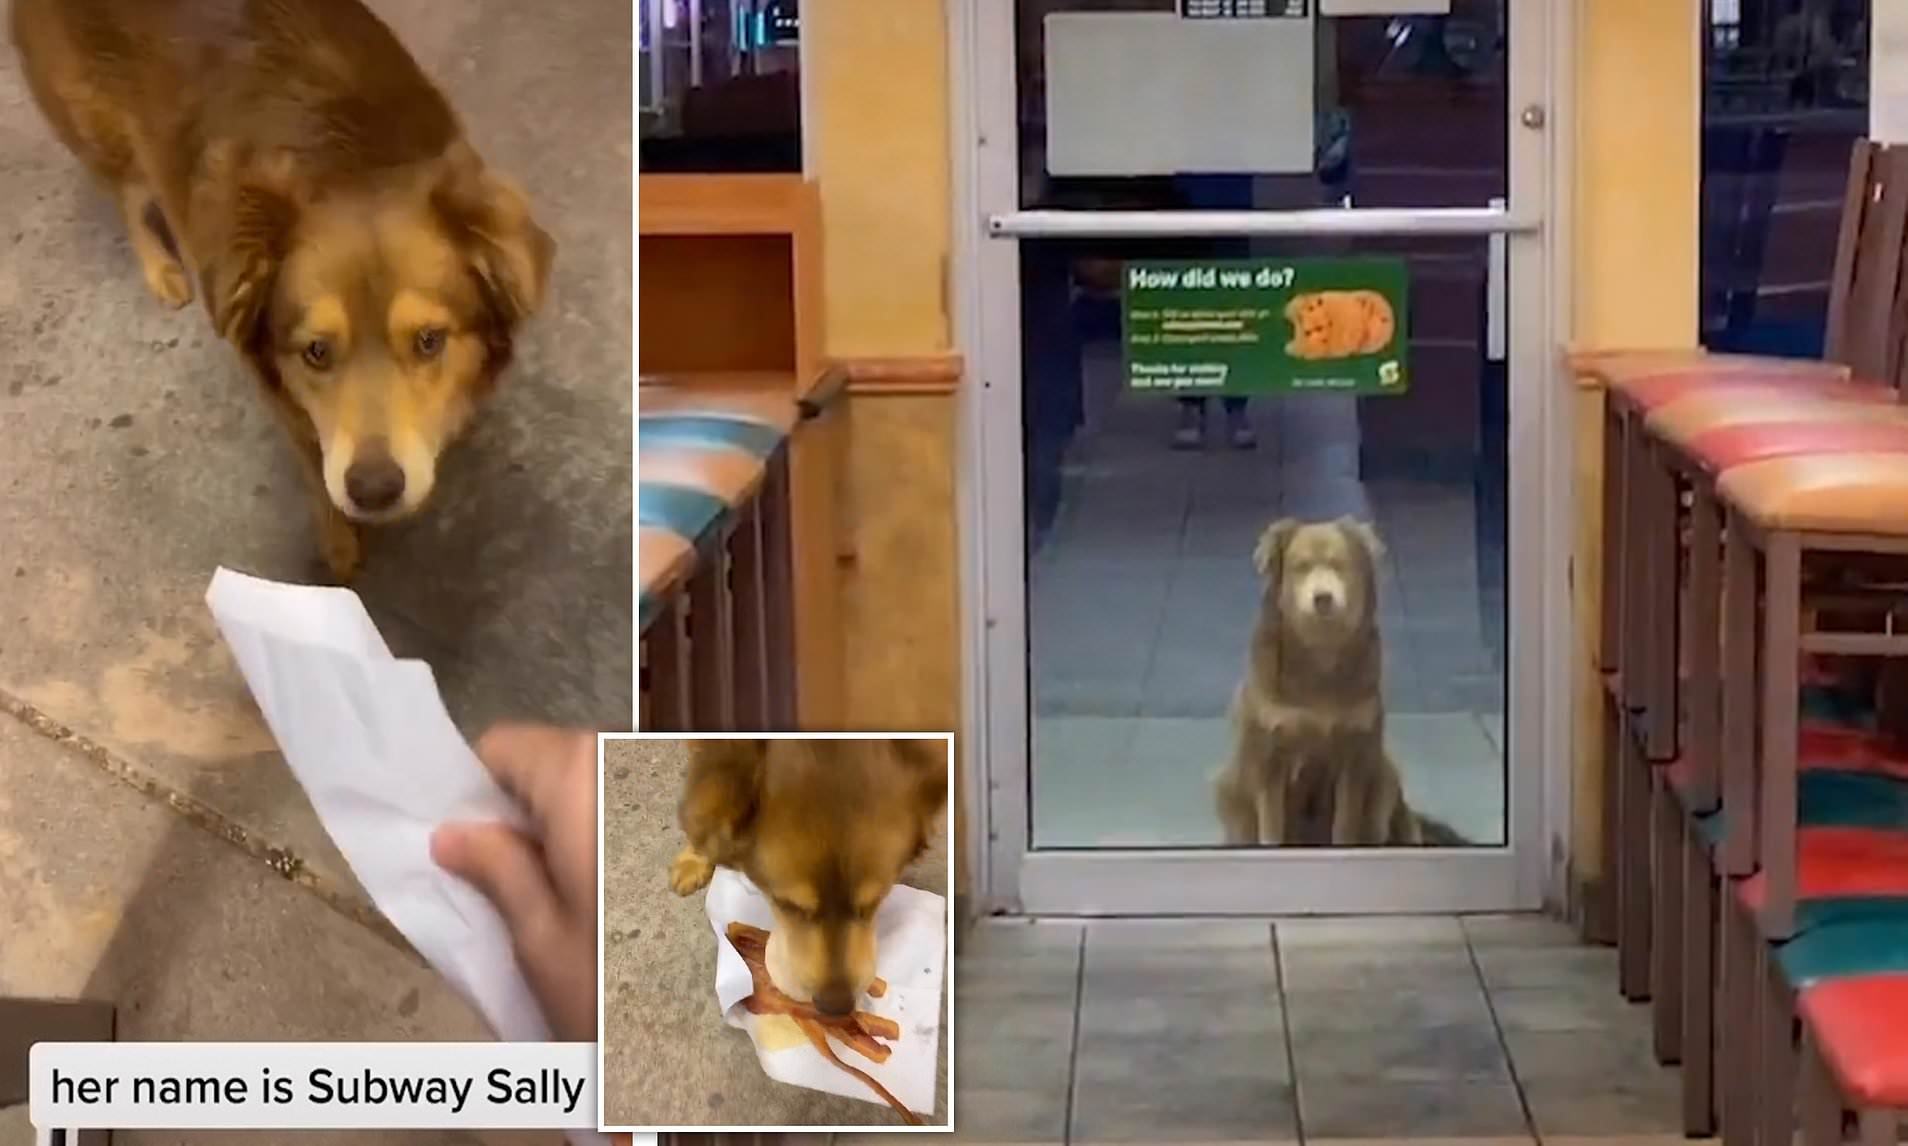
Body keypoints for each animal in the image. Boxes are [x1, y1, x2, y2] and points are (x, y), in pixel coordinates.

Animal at [9, 0, 553, 575]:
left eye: (430, 341)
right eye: (315, 351)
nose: (374, 491)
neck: (350, 158)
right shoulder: (285, 404)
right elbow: (315, 472)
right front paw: (339, 548)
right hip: (99, 127)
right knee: (128, 195)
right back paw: (161, 269)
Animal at [1213, 514, 1465, 842]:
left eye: (1339, 565)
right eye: (1301, 566)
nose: (1323, 598)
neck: (1321, 654)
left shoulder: (1355, 754)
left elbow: (1345, 824)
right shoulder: (1269, 757)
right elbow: (1271, 827)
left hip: (1384, 775)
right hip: (1227, 785)